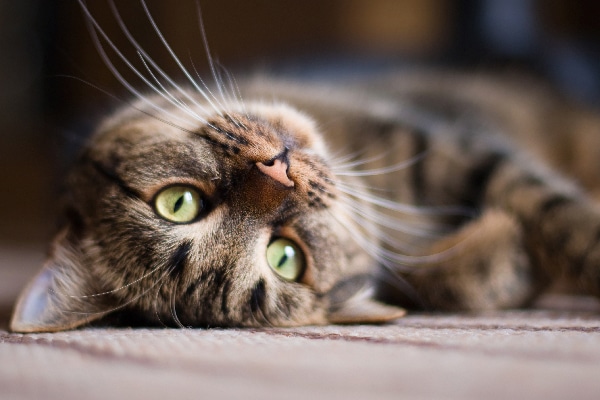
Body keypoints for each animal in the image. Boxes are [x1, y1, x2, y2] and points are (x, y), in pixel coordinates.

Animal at [8, 0, 600, 332]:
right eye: (286, 257)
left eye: (178, 202)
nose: (279, 170)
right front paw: (496, 255)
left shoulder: (441, 144)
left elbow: (561, 216)